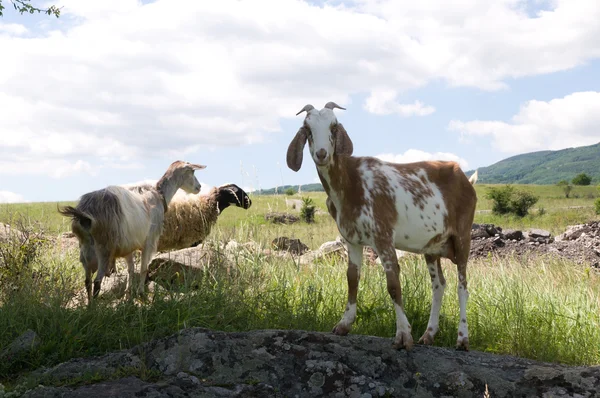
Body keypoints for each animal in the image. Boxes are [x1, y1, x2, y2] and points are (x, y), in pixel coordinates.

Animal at [58, 160, 205, 304]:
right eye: (192, 171)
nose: (199, 187)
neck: (159, 195)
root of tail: (84, 215)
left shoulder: (129, 246)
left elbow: (131, 270)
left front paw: (128, 295)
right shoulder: (149, 241)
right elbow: (143, 269)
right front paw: (141, 293)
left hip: (85, 250)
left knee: (87, 281)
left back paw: (88, 306)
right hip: (104, 250)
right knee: (97, 282)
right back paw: (94, 307)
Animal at [286, 102, 478, 352]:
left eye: (334, 126)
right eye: (307, 129)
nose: (321, 154)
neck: (350, 182)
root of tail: (466, 179)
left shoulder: (383, 236)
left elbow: (393, 284)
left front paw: (403, 335)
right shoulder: (351, 239)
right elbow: (352, 278)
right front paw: (344, 324)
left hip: (463, 236)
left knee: (462, 286)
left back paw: (462, 339)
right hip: (432, 245)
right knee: (439, 285)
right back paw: (428, 335)